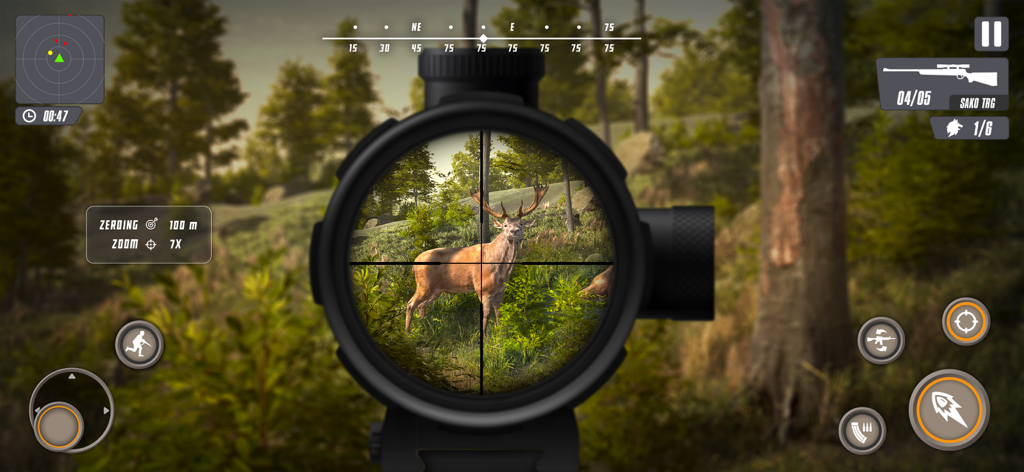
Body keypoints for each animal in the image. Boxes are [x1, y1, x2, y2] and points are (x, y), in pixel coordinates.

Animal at [405, 179, 549, 334]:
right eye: (505, 225)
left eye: (521, 223)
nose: (514, 231)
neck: (501, 268)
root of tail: (414, 263)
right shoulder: (483, 288)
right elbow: (486, 314)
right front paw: (485, 335)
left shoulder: (501, 290)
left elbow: (499, 312)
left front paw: (501, 332)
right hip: (424, 284)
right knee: (410, 303)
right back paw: (407, 332)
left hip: (437, 289)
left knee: (422, 305)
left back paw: (425, 326)